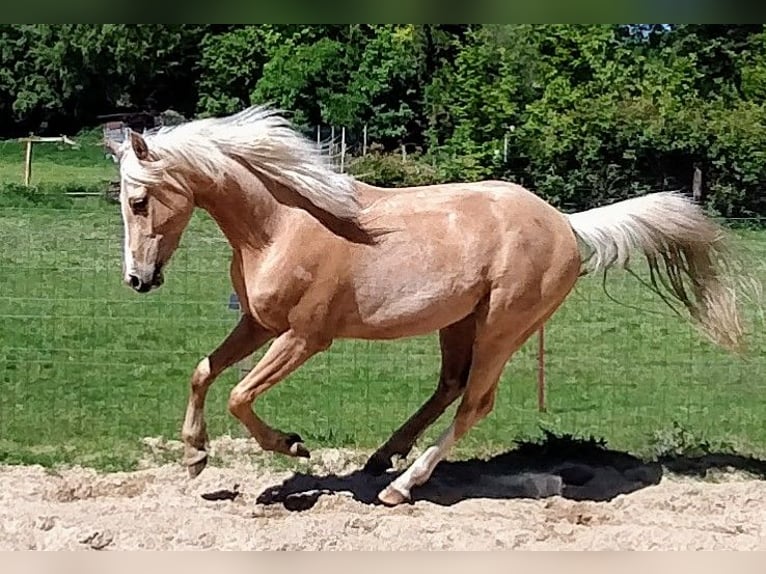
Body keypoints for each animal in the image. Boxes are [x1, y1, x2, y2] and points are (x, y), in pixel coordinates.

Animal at [105, 106, 752, 506]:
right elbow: (203, 372)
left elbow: (239, 394)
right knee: (449, 386)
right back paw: (381, 458)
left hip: (504, 325)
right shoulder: (258, 323)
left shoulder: (305, 337)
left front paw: (291, 446)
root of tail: (566, 224)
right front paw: (195, 456)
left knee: (474, 403)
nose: (138, 280)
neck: (281, 225)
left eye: (138, 201)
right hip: (459, 322)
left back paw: (401, 485)